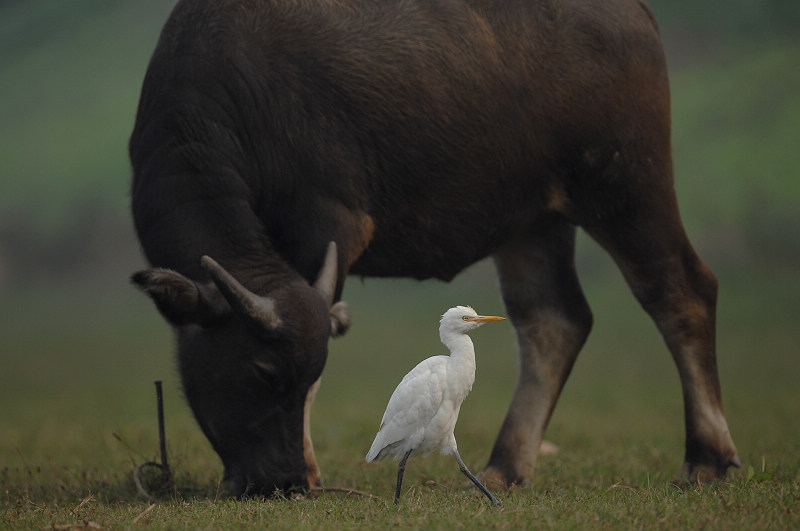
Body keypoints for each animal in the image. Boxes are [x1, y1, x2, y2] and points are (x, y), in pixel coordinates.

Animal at [130, 0, 736, 496]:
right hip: (532, 218)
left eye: (279, 374)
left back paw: (707, 457)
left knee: (680, 291)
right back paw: (506, 465)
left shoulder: (327, 222)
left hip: (625, 180)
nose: (285, 482)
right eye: (262, 371)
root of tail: (635, 14)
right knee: (552, 319)